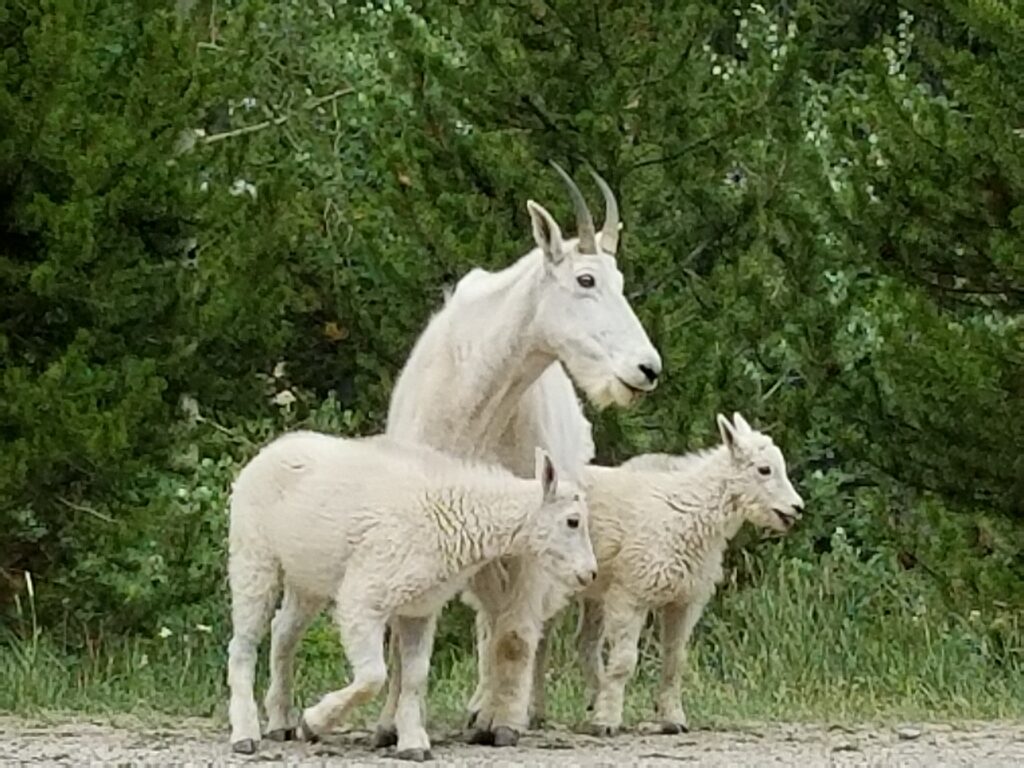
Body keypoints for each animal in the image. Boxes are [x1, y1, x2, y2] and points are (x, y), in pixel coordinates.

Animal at [227, 434, 598, 765]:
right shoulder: (365, 596)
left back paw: (280, 720)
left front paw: (413, 744)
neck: (454, 518)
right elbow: (374, 676)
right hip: (253, 554)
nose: (590, 573)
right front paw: (314, 722)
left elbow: (416, 676)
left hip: (306, 579)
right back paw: (246, 733)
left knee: (283, 632)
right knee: (243, 643)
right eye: (573, 521)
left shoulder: (420, 607)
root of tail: (265, 454)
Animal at [378, 162, 663, 745]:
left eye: (620, 282)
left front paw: (504, 723)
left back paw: (516, 708)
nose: (646, 369)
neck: (474, 405)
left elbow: (515, 633)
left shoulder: (539, 527)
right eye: (585, 280)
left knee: (518, 624)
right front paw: (390, 724)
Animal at [573, 417, 802, 737]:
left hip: (594, 592)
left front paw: (673, 719)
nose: (797, 508)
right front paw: (607, 721)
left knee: (585, 644)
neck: (690, 511)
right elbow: (623, 662)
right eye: (764, 469)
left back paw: (594, 699)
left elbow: (675, 660)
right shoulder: (630, 593)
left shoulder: (685, 600)